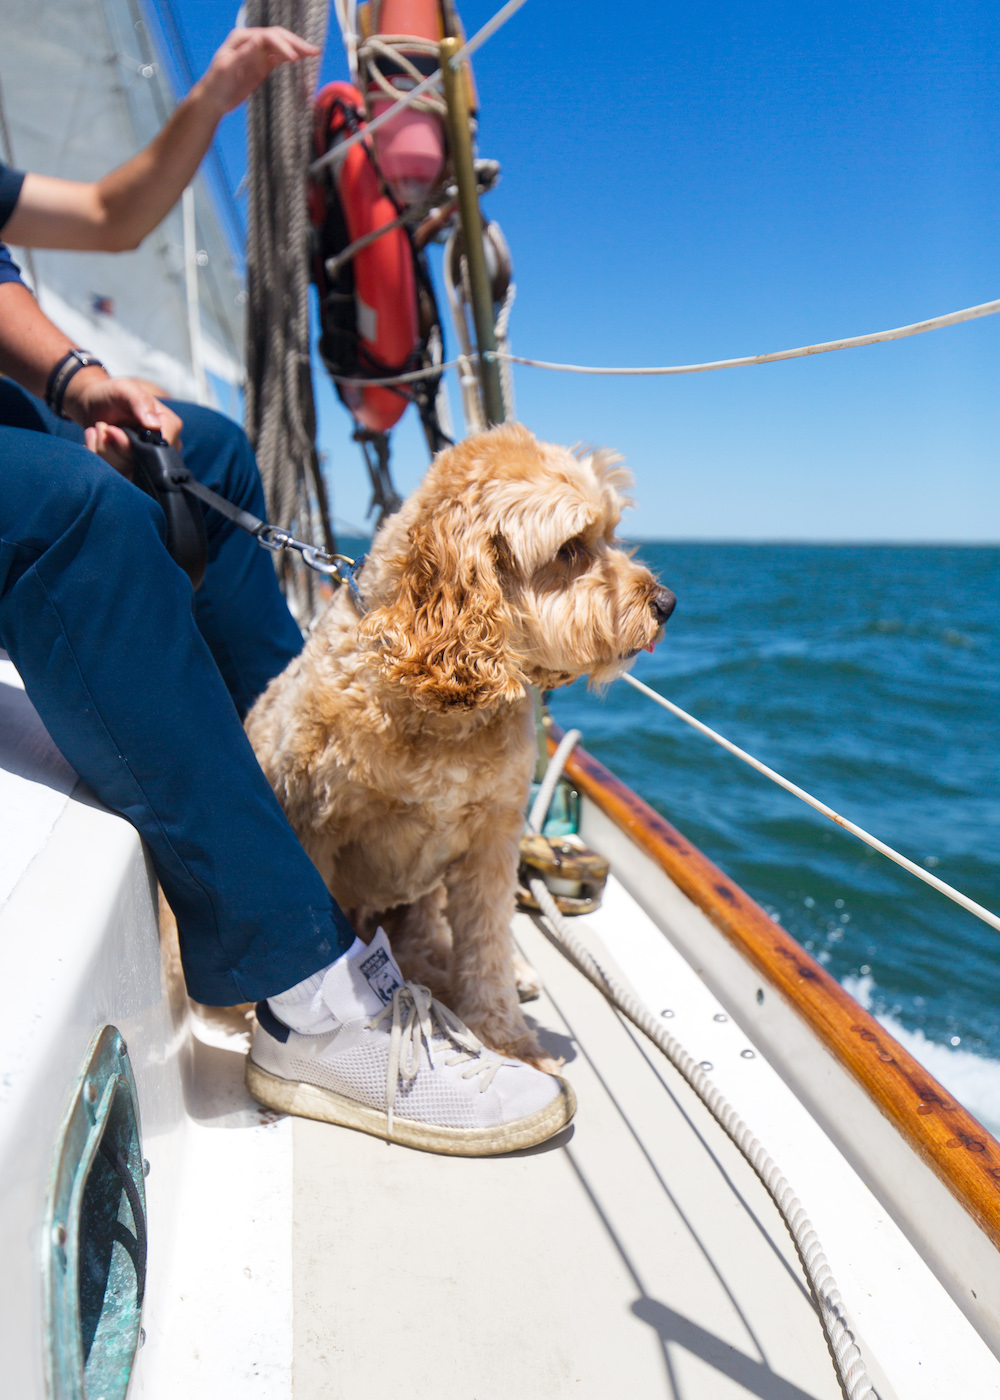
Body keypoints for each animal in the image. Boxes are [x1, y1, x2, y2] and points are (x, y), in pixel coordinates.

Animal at [245, 420, 675, 1064]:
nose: (667, 604)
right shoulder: (311, 825)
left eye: (610, 533)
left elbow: (488, 944)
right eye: (570, 548)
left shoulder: (492, 838)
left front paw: (506, 1039)